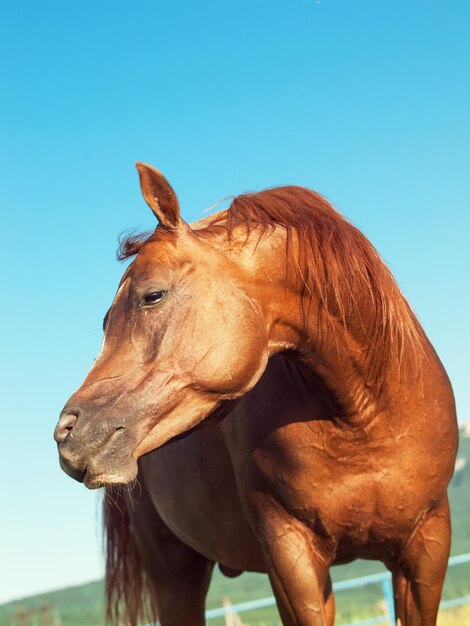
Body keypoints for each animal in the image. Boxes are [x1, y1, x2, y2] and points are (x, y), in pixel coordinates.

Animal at [53, 163, 458, 624]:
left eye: (151, 295)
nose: (67, 434)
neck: (363, 419)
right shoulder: (290, 556)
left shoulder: (426, 546)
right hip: (173, 574)